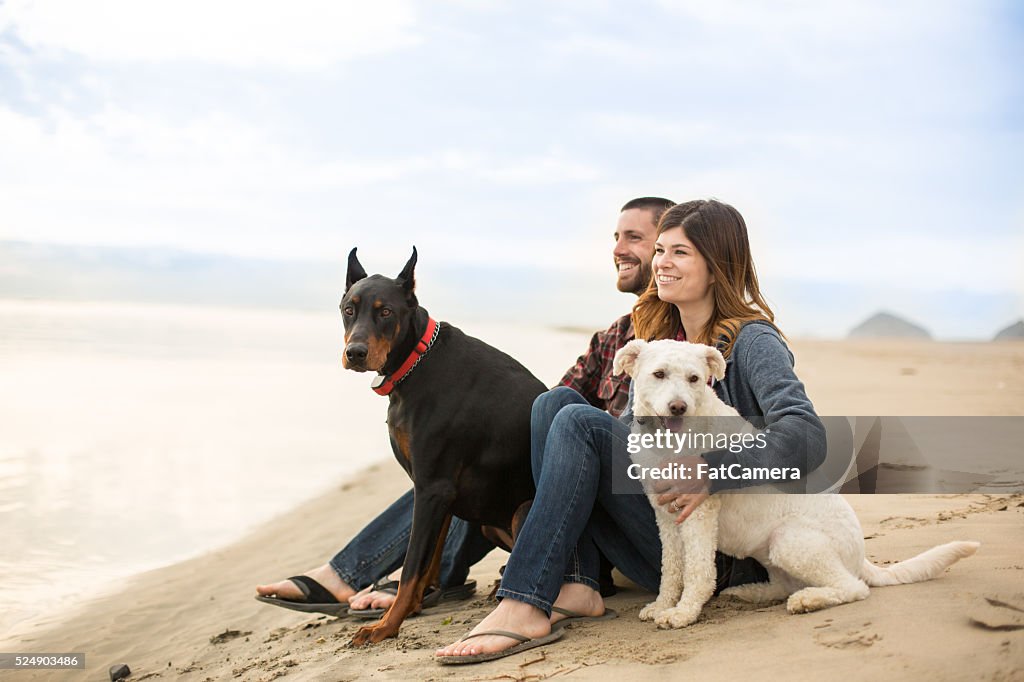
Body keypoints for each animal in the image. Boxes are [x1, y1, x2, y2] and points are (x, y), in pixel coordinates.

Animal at [610, 337, 978, 630]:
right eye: (659, 374)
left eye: (694, 378)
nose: (678, 407)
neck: (668, 438)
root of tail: (862, 558)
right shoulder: (665, 516)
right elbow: (671, 569)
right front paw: (662, 605)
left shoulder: (699, 512)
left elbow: (697, 571)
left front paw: (683, 614)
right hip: (771, 551)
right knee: (785, 585)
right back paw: (751, 593)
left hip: (790, 541)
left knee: (853, 588)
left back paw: (809, 600)